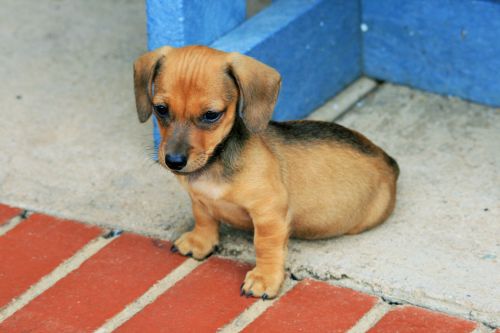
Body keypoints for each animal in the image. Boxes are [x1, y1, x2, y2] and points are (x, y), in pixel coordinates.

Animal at [133, 44, 398, 298]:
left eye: (211, 115)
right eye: (160, 109)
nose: (173, 161)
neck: (215, 162)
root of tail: (389, 161)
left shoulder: (268, 212)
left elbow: (265, 246)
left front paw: (264, 278)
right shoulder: (199, 199)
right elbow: (204, 218)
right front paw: (200, 241)